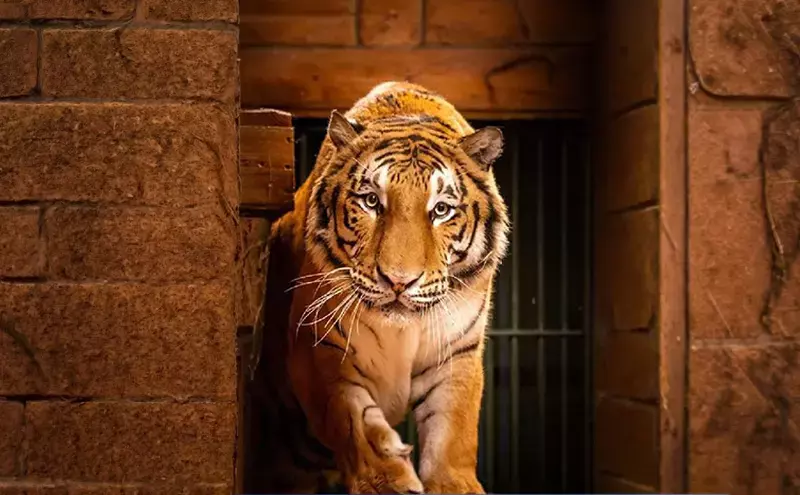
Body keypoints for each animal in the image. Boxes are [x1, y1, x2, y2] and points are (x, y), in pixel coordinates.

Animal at [247, 81, 510, 494]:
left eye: (441, 210)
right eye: (371, 201)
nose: (399, 280)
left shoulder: (456, 352)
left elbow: (454, 431)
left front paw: (454, 484)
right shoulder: (316, 346)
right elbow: (349, 416)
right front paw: (385, 476)